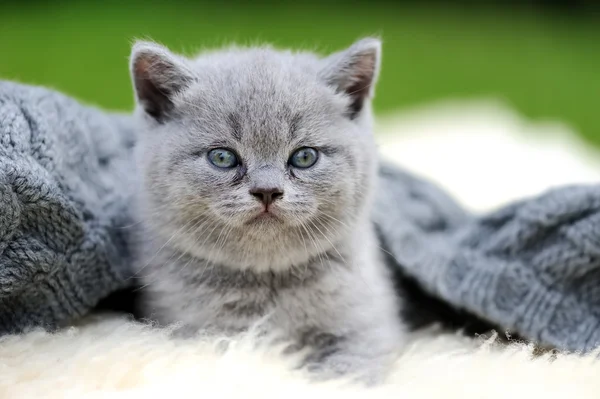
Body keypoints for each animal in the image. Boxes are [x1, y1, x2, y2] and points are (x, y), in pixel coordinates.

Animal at [130, 39, 404, 382]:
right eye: (222, 157)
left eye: (304, 157)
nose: (267, 191)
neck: (268, 283)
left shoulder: (367, 326)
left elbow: (348, 370)